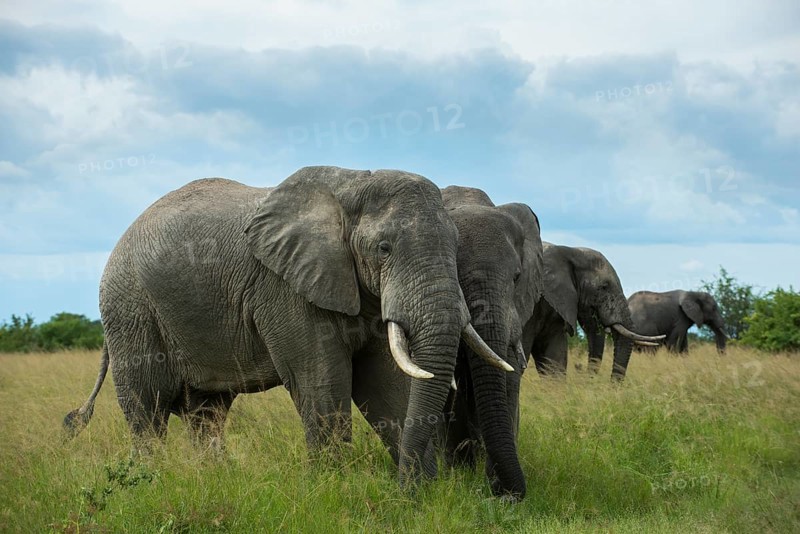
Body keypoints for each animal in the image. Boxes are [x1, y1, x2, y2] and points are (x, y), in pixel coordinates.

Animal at [64, 166, 508, 488]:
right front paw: (334, 491)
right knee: (148, 410)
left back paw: (214, 479)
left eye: (456, 246)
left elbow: (384, 385)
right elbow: (322, 381)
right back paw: (150, 482)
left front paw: (420, 494)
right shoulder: (284, 289)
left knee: (207, 412)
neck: (353, 185)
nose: (407, 486)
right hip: (130, 307)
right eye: (384, 249)